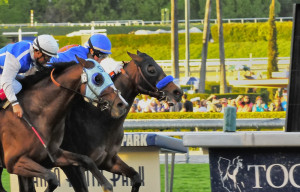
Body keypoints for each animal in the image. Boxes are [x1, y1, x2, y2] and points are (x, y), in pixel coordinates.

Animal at [0, 57, 126, 192]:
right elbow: (52, 178)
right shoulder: (14, 162)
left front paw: (106, 185)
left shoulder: (54, 155)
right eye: (98, 78)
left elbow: (87, 160)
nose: (121, 104)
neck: (35, 114)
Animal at [18, 50, 183, 192]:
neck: (99, 119)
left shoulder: (108, 161)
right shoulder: (72, 166)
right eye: (151, 69)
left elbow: (136, 177)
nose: (178, 92)